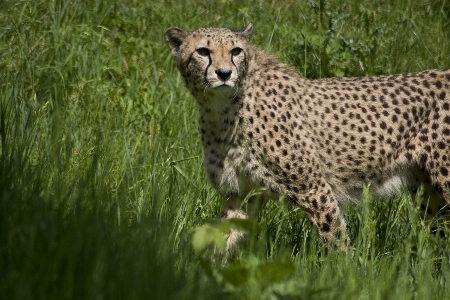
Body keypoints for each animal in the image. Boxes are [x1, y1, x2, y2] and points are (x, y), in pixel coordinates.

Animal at [165, 22, 450, 253]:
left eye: (236, 51)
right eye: (203, 51)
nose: (224, 73)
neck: (222, 109)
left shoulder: (313, 187)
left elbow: (335, 238)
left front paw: (346, 274)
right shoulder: (243, 192)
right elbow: (224, 237)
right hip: (427, 191)